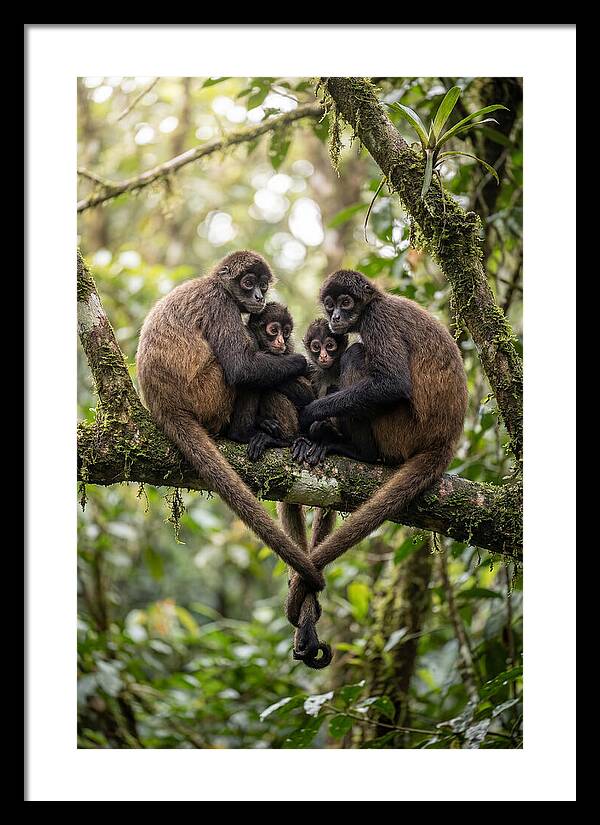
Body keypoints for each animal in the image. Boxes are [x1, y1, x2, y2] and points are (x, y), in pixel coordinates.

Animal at [136, 251, 325, 594]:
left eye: (263, 285)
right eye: (248, 283)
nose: (259, 296)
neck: (214, 284)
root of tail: (163, 404)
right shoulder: (220, 303)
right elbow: (240, 367)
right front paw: (300, 362)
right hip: (208, 394)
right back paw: (244, 433)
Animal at [286, 269, 468, 627]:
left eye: (346, 302)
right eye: (330, 305)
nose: (336, 317)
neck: (376, 302)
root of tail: (446, 440)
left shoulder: (377, 320)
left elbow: (392, 383)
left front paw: (312, 416)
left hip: (400, 429)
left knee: (357, 354)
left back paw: (355, 451)